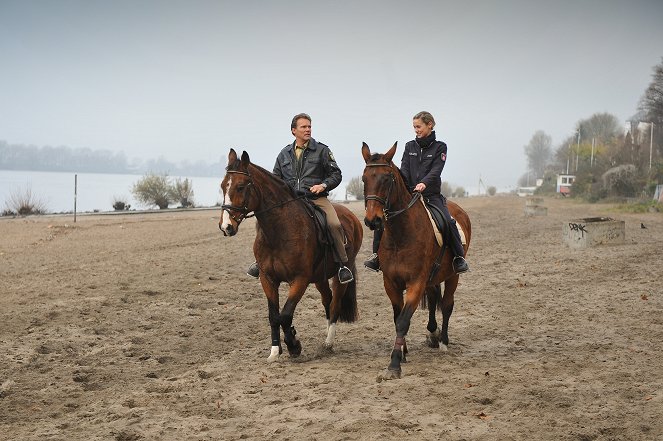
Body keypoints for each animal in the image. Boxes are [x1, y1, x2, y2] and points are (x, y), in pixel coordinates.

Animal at [218, 149, 364, 360]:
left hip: (340, 276)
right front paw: (275, 351)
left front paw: (294, 345)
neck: (280, 232)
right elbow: (274, 316)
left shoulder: (299, 280)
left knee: (335, 304)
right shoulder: (268, 279)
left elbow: (285, 315)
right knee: (327, 301)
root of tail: (351, 217)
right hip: (319, 278)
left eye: (240, 186)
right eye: (223, 186)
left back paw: (328, 343)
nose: (226, 226)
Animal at [364, 142, 472, 378]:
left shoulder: (416, 282)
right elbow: (397, 317)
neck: (401, 234)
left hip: (452, 275)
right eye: (364, 178)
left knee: (447, 304)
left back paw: (443, 341)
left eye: (387, 179)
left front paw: (394, 364)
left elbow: (403, 321)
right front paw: (403, 352)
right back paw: (432, 334)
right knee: (432, 300)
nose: (372, 221)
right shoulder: (391, 283)